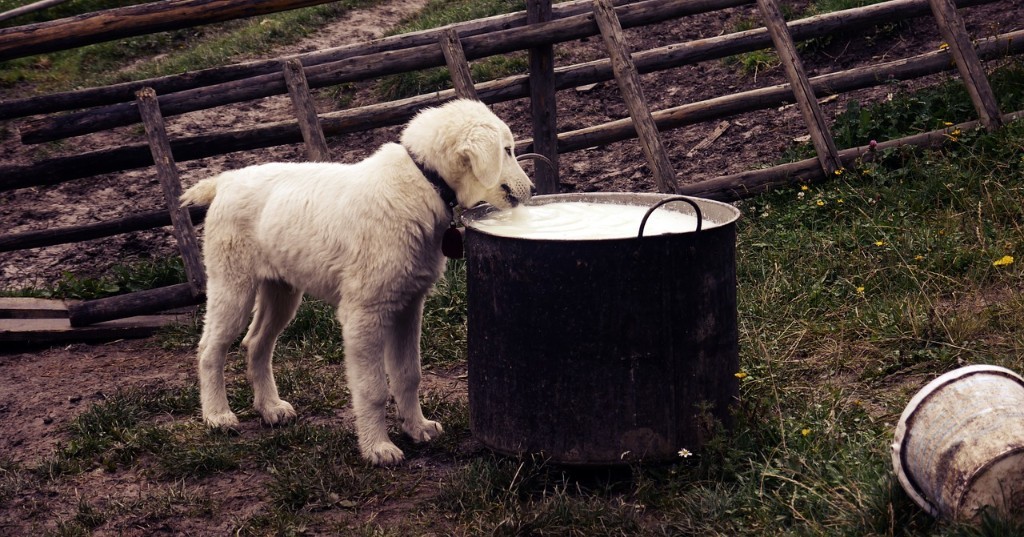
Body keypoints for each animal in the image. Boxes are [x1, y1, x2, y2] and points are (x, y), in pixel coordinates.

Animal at [180, 99, 536, 465]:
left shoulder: (409, 305)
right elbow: (373, 388)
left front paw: (417, 428)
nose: (533, 190)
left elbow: (409, 375)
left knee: (256, 343)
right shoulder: (365, 313)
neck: (423, 181)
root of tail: (226, 179)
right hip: (232, 283)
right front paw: (377, 448)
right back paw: (218, 416)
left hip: (281, 290)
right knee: (210, 348)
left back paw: (270, 408)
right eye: (507, 150)